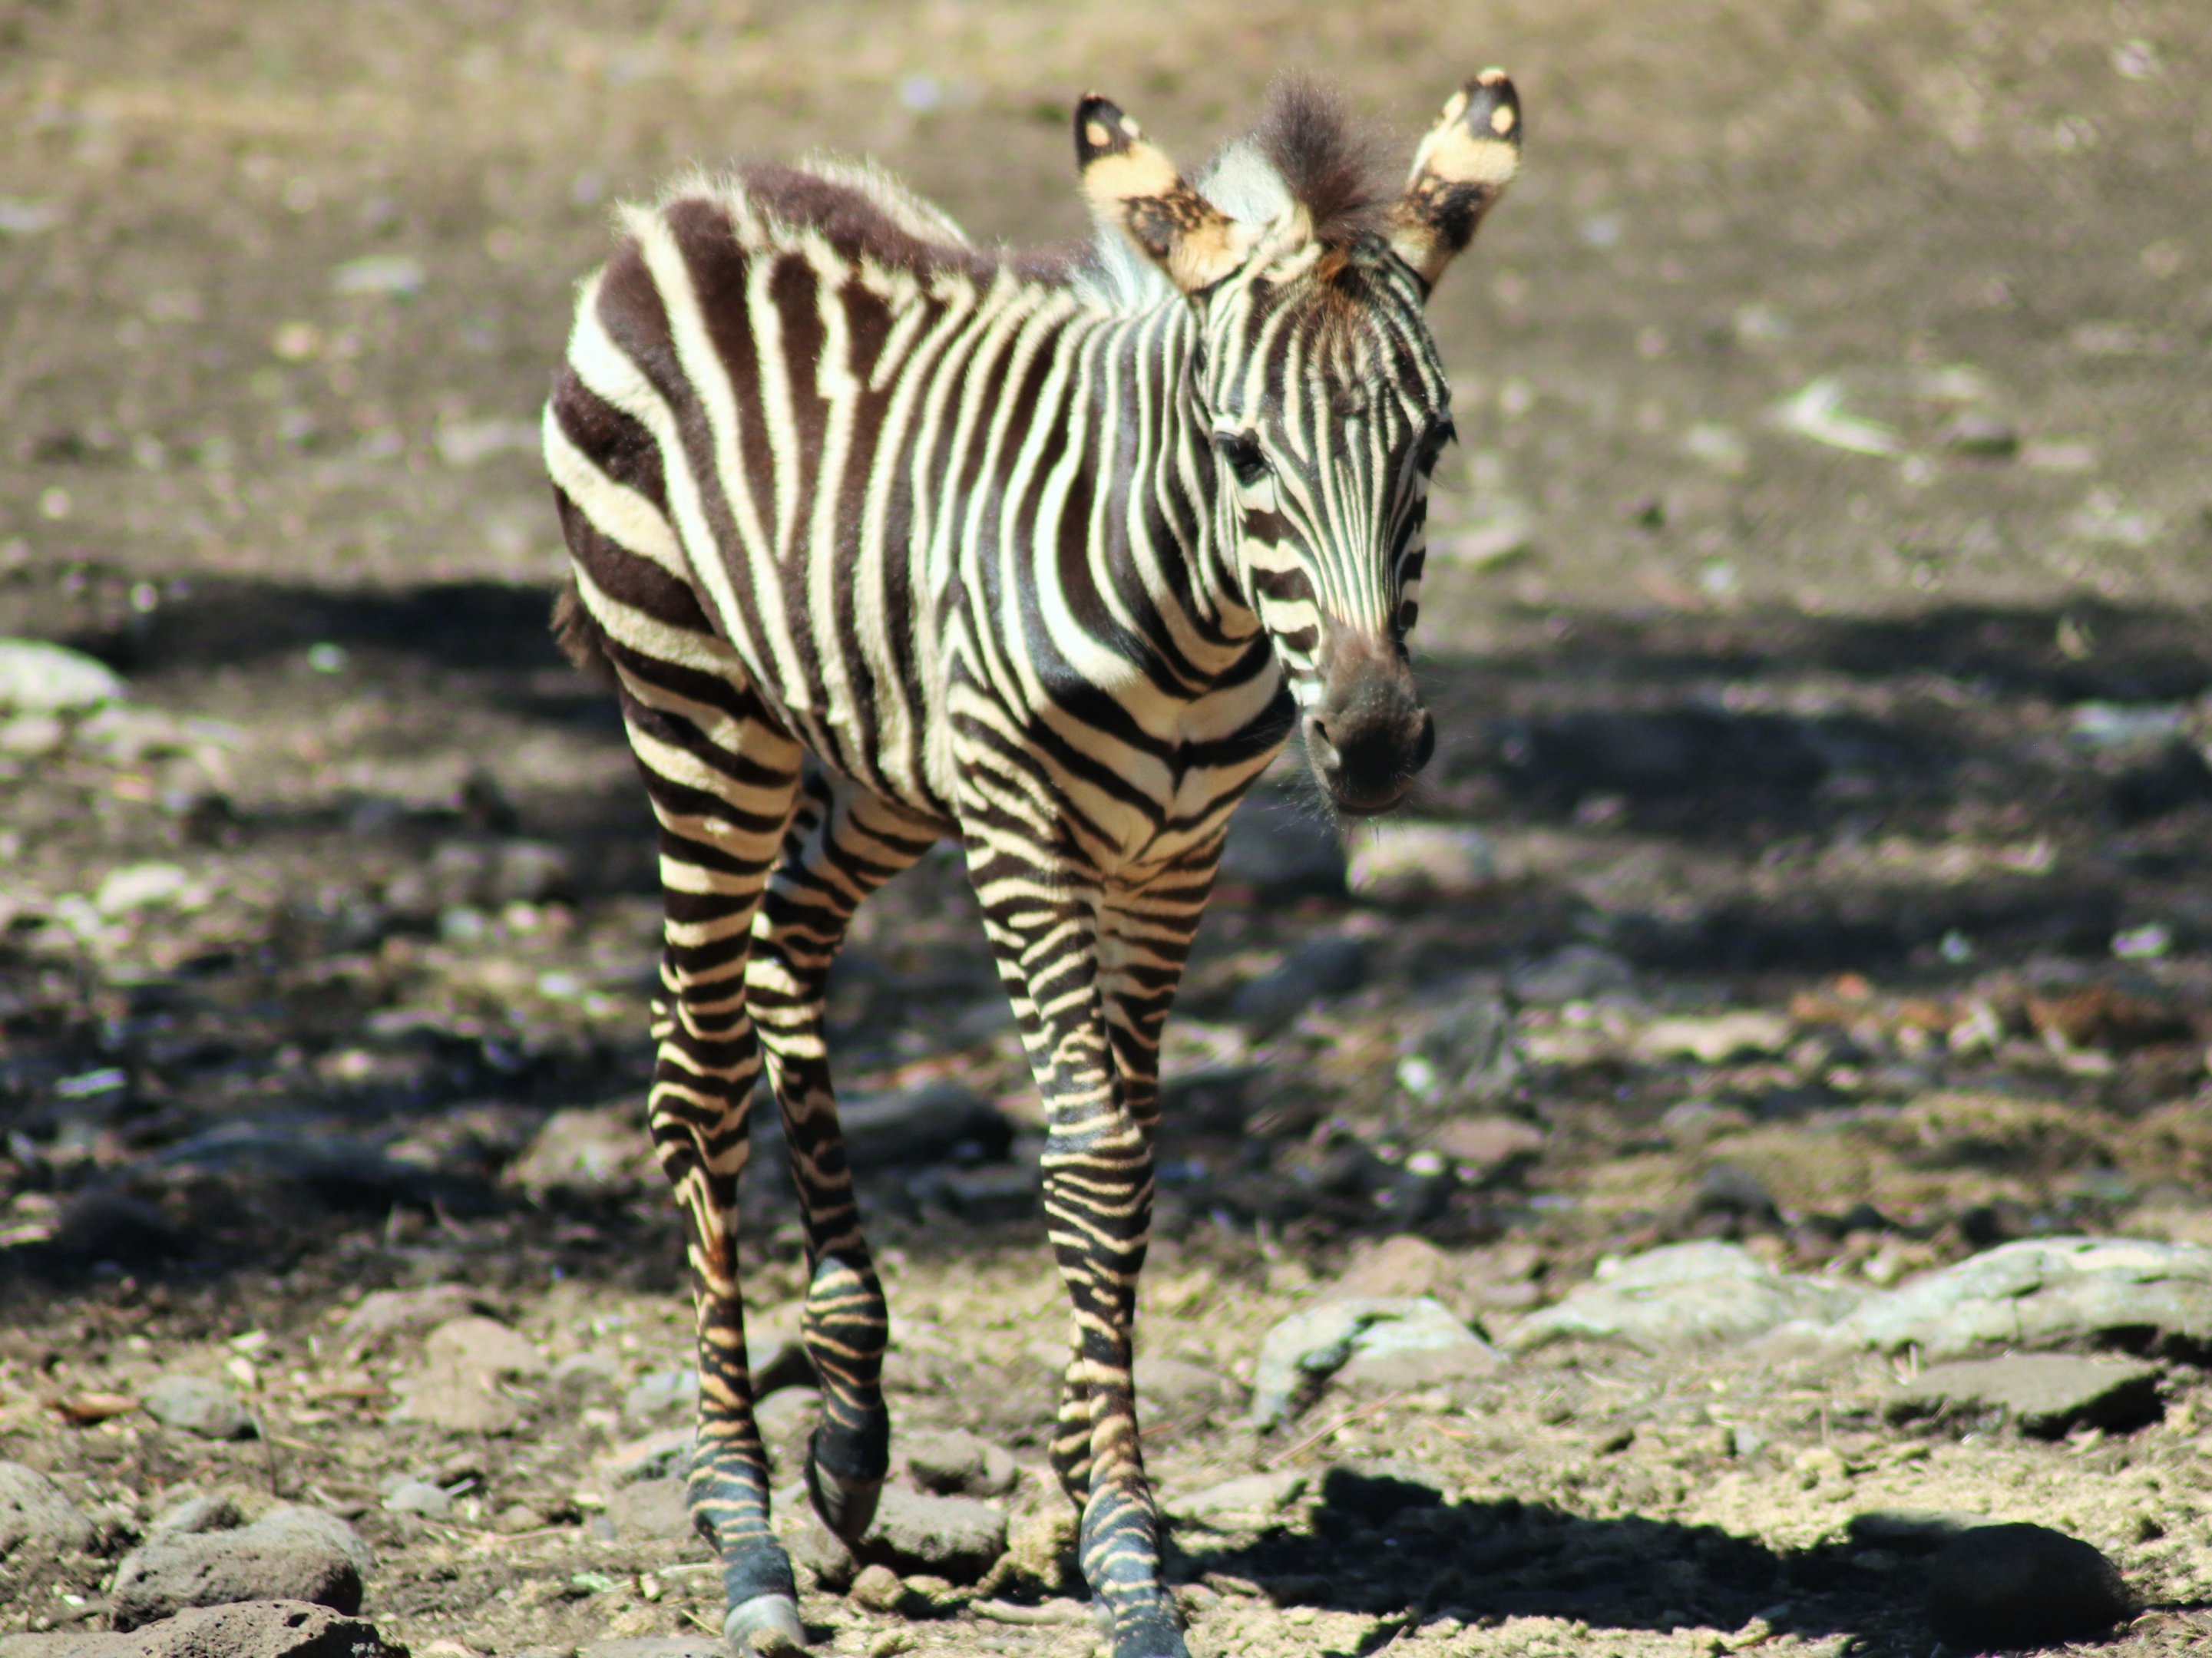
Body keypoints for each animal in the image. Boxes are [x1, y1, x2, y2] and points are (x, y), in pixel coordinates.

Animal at [543, 70, 1521, 1658]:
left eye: (1431, 444)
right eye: (1243, 451)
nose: (1375, 745)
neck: (1197, 619)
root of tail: (691, 199)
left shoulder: (1176, 851)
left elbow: (1132, 1153)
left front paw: (1085, 1474)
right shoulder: (1018, 822)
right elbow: (1094, 1150)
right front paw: (1122, 1548)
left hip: (889, 754)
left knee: (788, 942)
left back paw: (850, 1413)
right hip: (703, 717)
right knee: (695, 1071)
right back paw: (742, 1526)